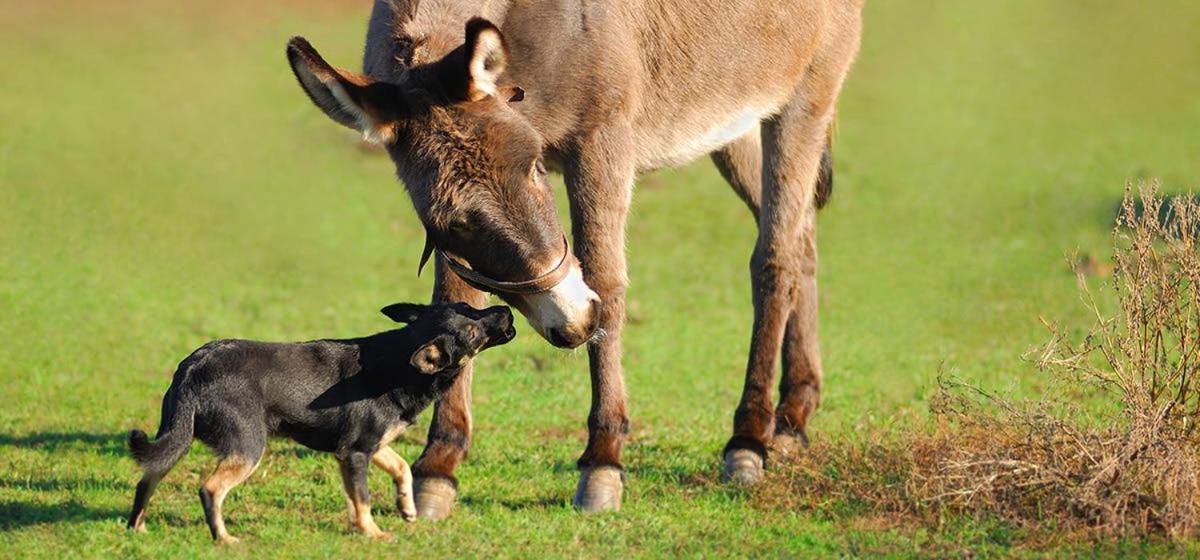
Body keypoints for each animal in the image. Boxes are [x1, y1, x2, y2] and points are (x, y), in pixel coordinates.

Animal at [126, 302, 516, 544]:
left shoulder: (364, 448)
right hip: (248, 447)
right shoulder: (356, 453)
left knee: (147, 479)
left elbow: (399, 469)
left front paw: (405, 507)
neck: (401, 363)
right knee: (210, 489)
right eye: (472, 333)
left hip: (176, 440)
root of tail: (194, 367)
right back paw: (223, 538)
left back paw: (136, 529)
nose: (506, 309)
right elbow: (363, 498)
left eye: (469, 306)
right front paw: (374, 533)